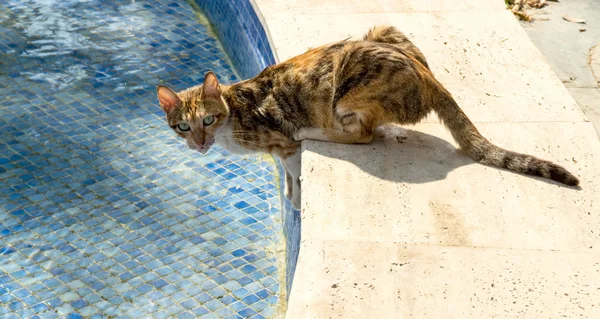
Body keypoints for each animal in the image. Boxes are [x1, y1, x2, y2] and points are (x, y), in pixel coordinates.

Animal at [157, 25, 580, 210]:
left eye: (207, 120)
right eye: (183, 127)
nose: (198, 144)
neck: (233, 115)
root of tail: (430, 78)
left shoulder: (283, 143)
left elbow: (294, 168)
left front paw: (296, 199)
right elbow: (289, 176)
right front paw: (290, 194)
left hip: (348, 85)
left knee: (361, 135)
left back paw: (318, 130)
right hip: (384, 30)